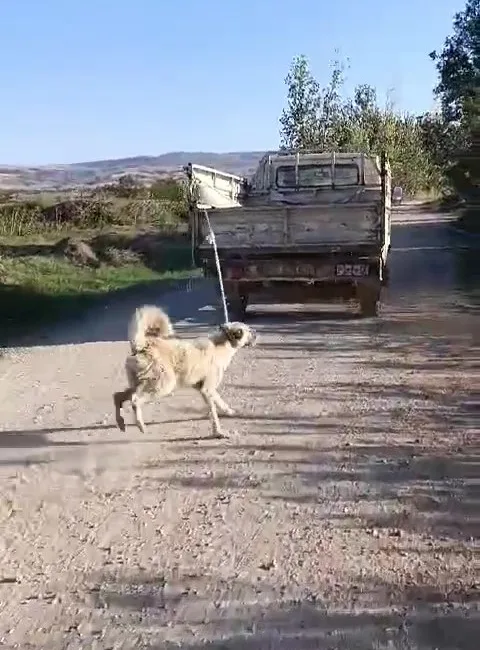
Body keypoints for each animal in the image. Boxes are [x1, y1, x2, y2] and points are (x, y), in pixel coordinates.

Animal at [113, 304, 256, 436]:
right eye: (248, 331)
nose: (256, 334)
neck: (223, 343)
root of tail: (145, 344)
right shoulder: (207, 390)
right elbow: (214, 410)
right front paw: (219, 432)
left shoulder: (205, 390)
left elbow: (218, 403)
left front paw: (228, 412)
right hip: (163, 385)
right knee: (135, 401)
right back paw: (141, 426)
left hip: (143, 383)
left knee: (118, 396)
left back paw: (121, 423)